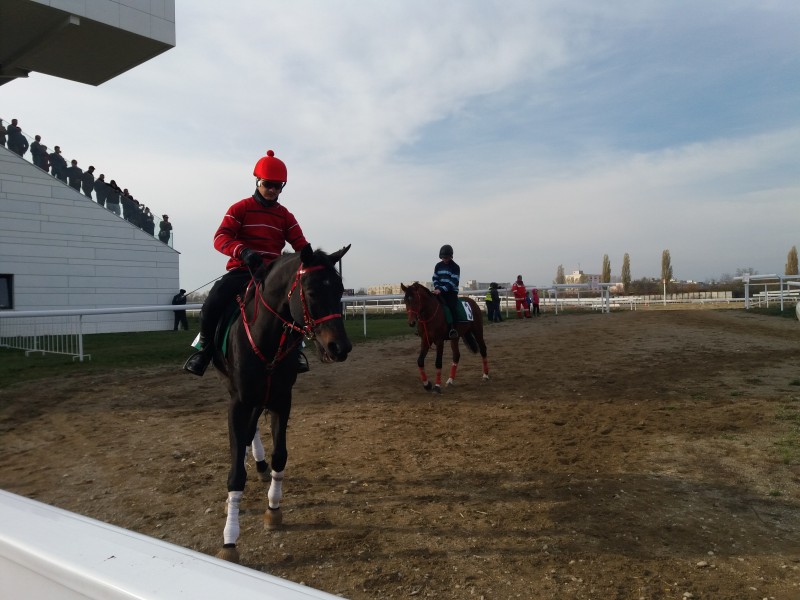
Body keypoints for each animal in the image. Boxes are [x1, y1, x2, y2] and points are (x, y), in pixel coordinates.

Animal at [211, 244, 352, 564]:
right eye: (311, 291)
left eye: (340, 290)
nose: (340, 347)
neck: (265, 338)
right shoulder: (237, 402)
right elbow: (235, 472)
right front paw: (230, 539)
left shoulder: (281, 399)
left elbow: (280, 456)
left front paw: (273, 509)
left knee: (251, 431)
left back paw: (260, 465)